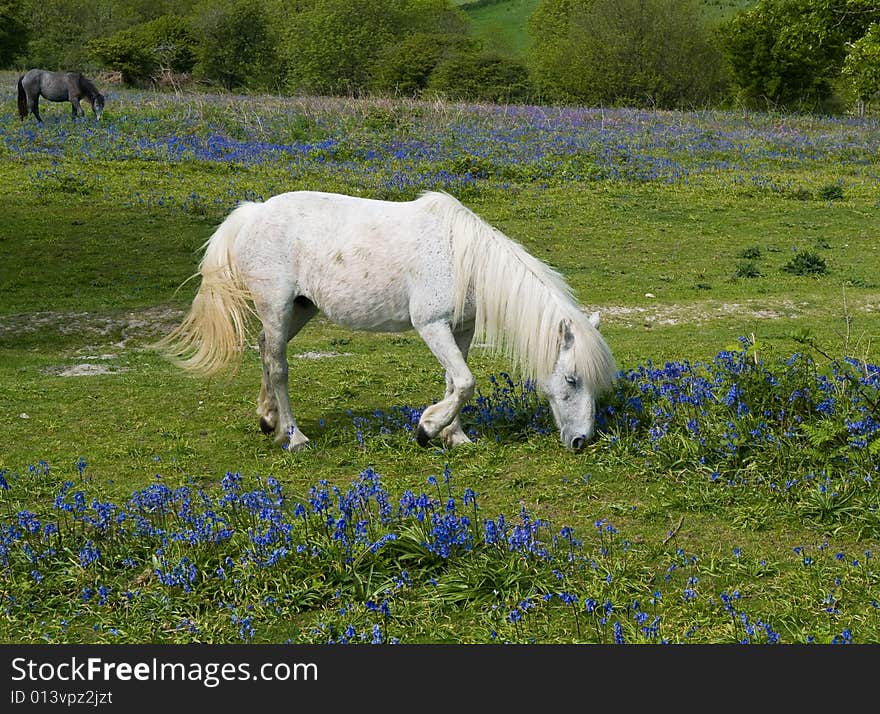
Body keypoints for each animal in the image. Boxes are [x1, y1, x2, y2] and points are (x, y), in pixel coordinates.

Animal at [153, 192, 620, 448]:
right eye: (572, 380)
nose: (581, 442)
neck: (463, 259)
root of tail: (253, 213)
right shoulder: (431, 325)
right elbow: (466, 382)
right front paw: (427, 429)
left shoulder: (460, 329)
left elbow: (455, 382)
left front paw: (455, 435)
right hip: (275, 306)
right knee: (279, 366)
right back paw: (293, 436)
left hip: (299, 309)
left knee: (267, 352)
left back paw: (268, 420)